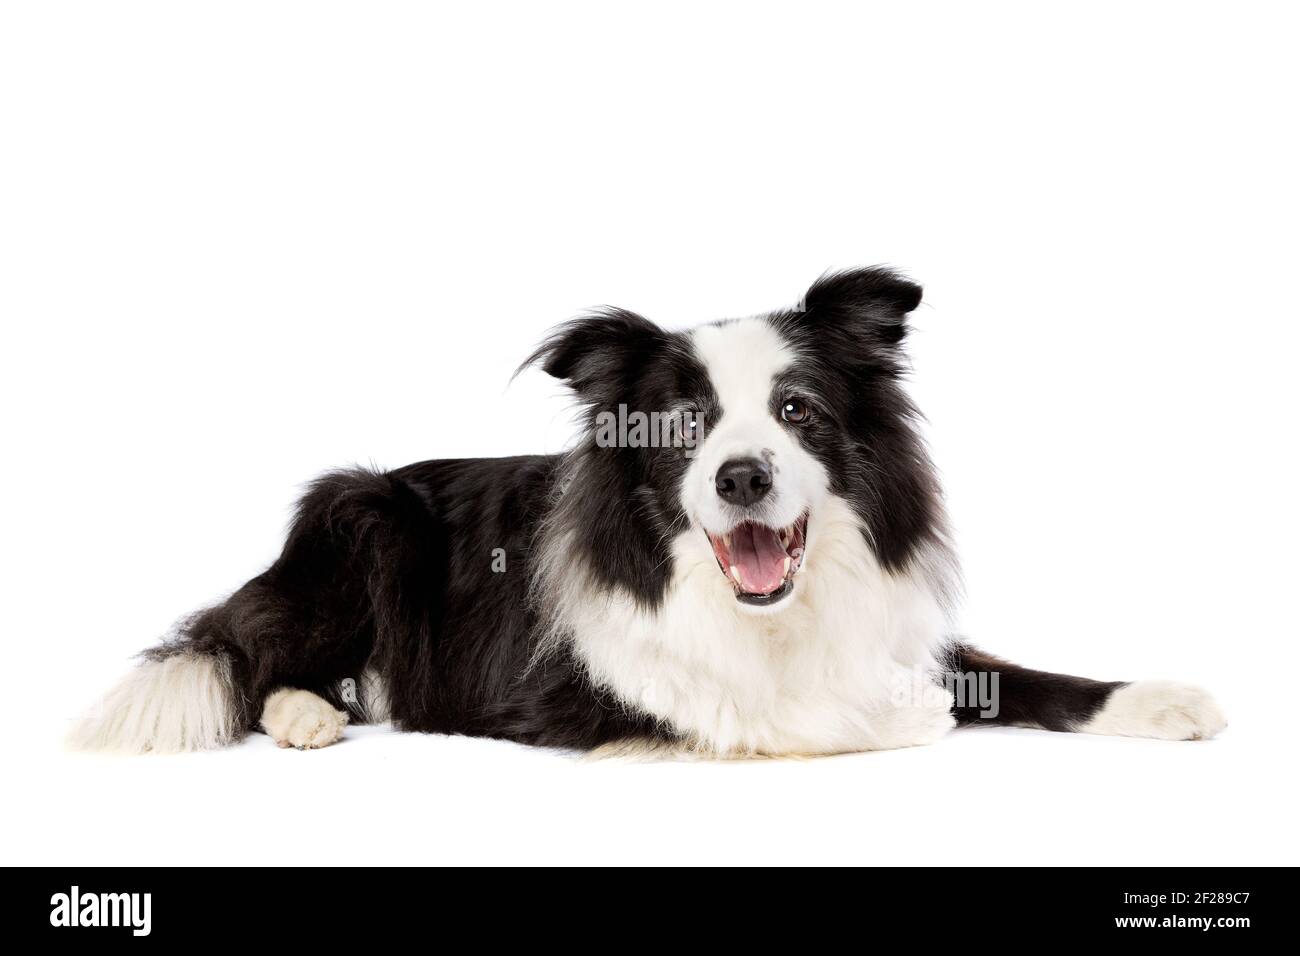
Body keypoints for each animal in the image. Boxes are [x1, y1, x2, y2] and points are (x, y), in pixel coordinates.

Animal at [73, 267, 1227, 754]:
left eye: (797, 411)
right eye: (682, 425)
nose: (741, 477)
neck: (771, 618)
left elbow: (1013, 673)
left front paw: (1156, 699)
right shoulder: (561, 692)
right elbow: (776, 715)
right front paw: (905, 716)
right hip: (362, 518)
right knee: (245, 656)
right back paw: (309, 710)